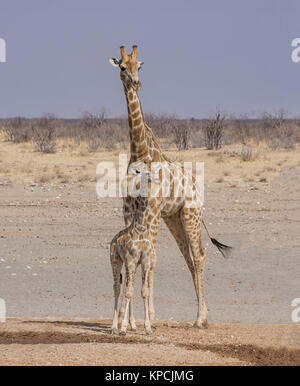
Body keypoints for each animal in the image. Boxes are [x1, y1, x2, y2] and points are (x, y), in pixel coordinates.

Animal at [109, 44, 231, 328]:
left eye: (139, 66)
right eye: (123, 67)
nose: (136, 83)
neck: (140, 152)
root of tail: (197, 187)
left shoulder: (152, 209)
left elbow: (152, 258)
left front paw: (148, 319)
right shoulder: (129, 210)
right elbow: (135, 256)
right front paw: (130, 323)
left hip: (191, 215)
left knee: (199, 255)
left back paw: (200, 319)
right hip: (174, 219)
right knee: (188, 258)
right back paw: (202, 315)